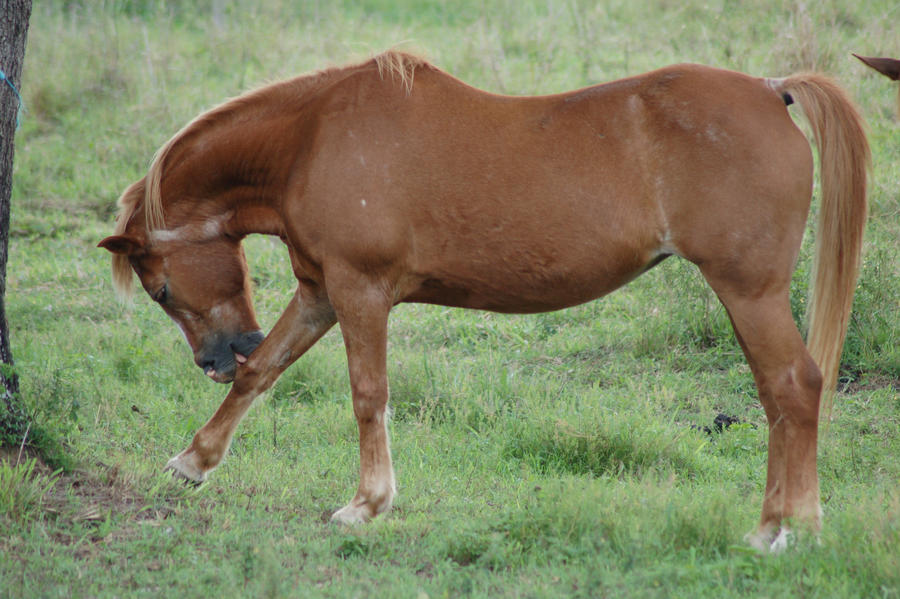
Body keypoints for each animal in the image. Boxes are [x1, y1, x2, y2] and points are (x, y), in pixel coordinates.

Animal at [96, 51, 864, 552]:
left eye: (161, 287)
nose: (217, 358)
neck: (312, 140)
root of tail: (771, 90)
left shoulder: (359, 291)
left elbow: (368, 395)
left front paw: (367, 504)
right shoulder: (319, 294)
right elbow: (266, 374)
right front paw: (195, 460)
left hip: (749, 292)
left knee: (793, 387)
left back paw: (785, 527)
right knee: (781, 397)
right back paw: (788, 523)